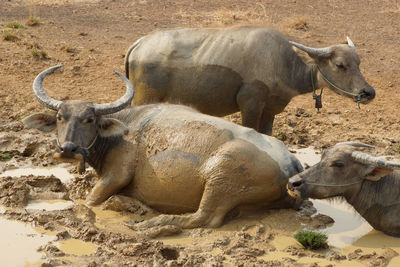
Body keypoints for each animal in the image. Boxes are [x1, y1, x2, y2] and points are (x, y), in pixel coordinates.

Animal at [22, 65, 304, 230]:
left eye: (89, 120)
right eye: (60, 117)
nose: (67, 149)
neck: (123, 128)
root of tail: (290, 164)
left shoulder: (117, 174)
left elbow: (90, 200)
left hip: (221, 177)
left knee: (204, 218)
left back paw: (150, 225)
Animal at [125, 25, 376, 135]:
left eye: (359, 62)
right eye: (340, 65)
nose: (368, 93)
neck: (282, 65)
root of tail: (140, 43)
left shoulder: (270, 110)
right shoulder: (250, 105)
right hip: (143, 98)